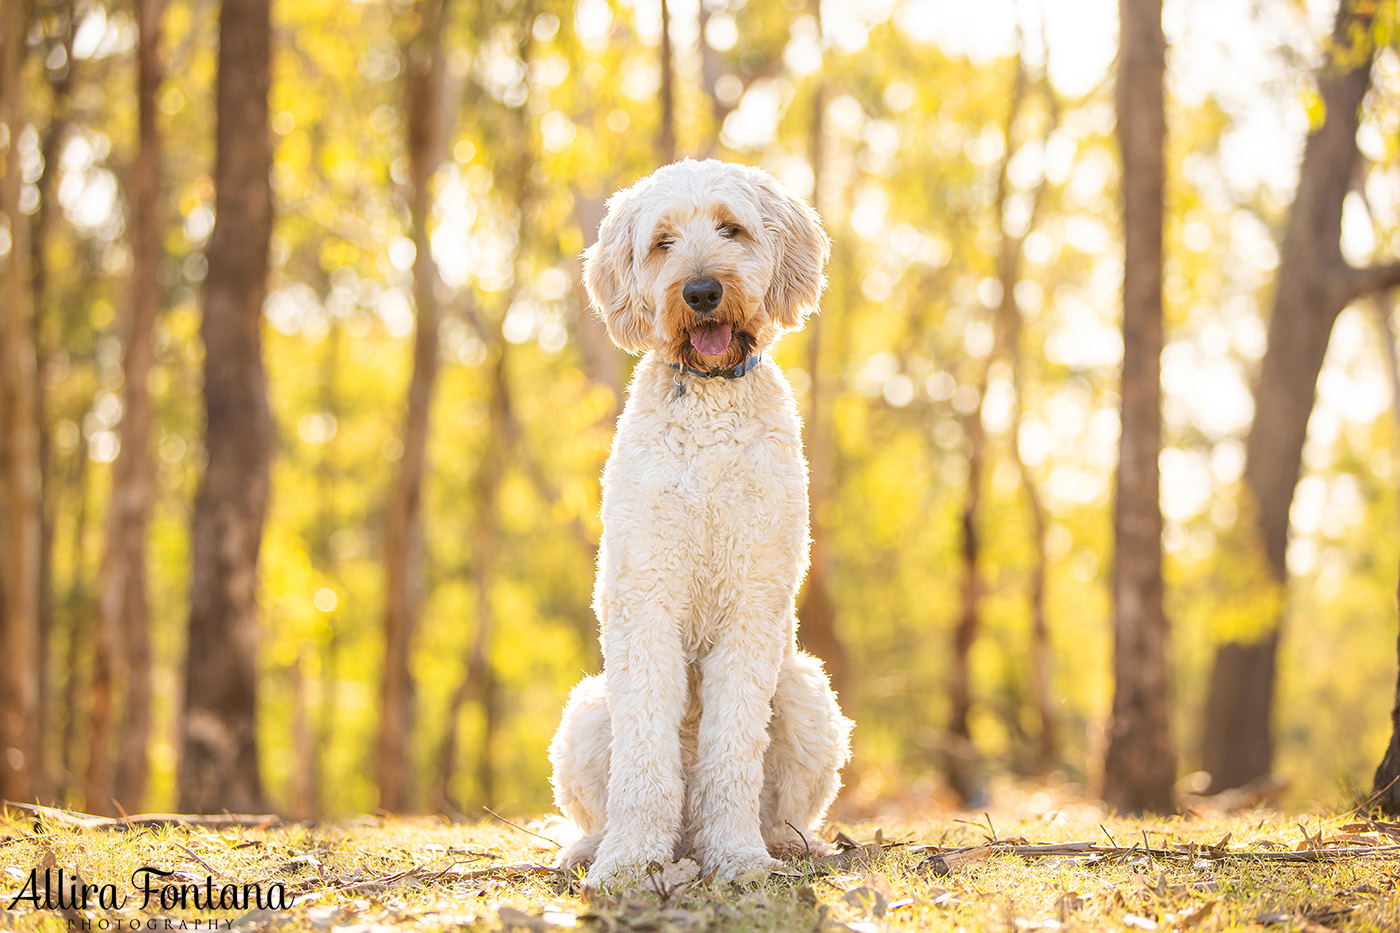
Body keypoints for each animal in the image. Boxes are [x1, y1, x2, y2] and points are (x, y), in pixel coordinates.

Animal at [546, 158, 851, 885]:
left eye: (730, 228)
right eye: (662, 242)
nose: (703, 291)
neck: (709, 400)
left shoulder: (751, 601)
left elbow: (732, 750)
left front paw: (736, 855)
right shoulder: (646, 594)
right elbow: (644, 754)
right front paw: (630, 858)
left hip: (808, 694)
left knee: (782, 808)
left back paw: (786, 844)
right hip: (588, 709)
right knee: (597, 802)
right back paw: (593, 846)